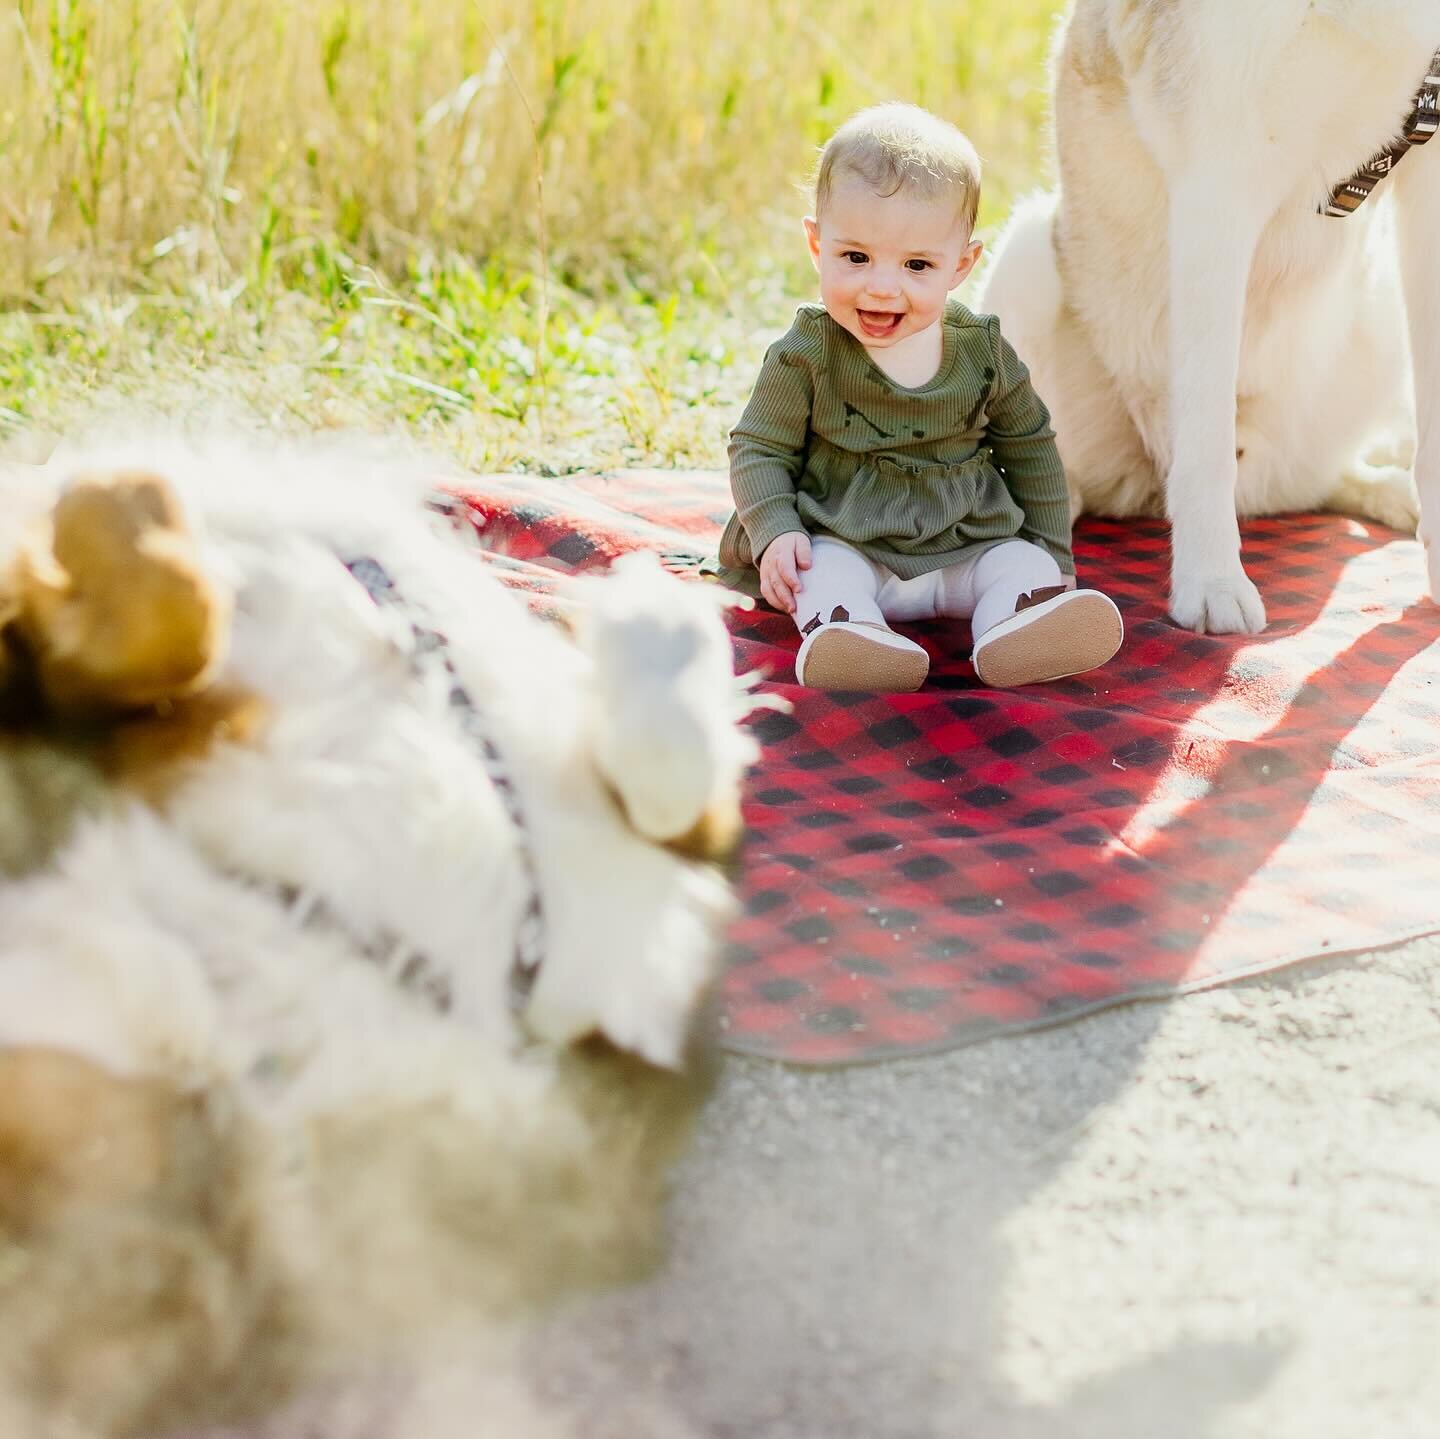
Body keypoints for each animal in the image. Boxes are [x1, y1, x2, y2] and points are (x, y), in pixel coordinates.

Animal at [979, 0, 1440, 633]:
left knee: (1308, 484)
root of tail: (1140, 490)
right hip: (1024, 253)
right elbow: (1207, 437)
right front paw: (1213, 584)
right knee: (1054, 487)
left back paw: (1386, 492)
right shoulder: (1218, 174)